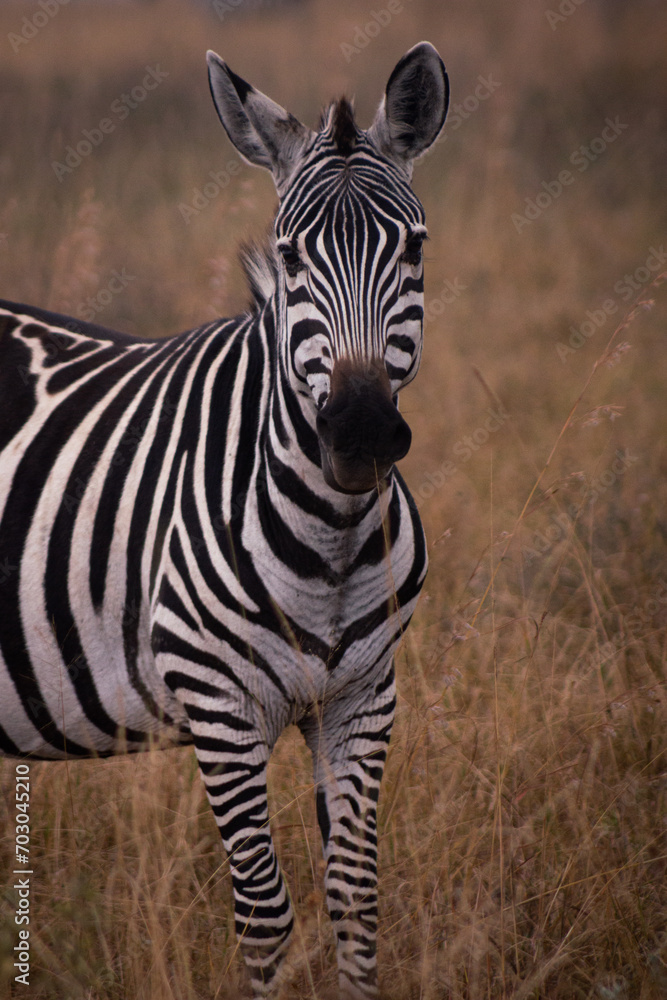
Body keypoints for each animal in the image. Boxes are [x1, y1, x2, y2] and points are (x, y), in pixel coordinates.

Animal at [0, 42, 449, 999]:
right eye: (289, 254)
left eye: (413, 246)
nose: (359, 431)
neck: (331, 539)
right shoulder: (220, 708)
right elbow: (265, 914)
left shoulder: (364, 699)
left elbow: (355, 896)